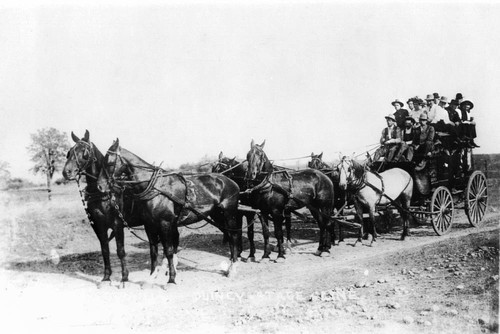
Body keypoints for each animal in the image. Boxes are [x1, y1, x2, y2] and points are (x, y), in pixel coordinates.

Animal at [63, 129, 144, 286]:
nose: (66, 172)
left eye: (84, 152)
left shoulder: (118, 224)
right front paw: (106, 277)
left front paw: (124, 277)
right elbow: (105, 249)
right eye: (69, 152)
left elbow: (120, 251)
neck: (103, 192)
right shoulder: (98, 225)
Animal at [97, 140, 242, 284]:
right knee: (229, 235)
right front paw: (152, 276)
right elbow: (153, 251)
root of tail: (230, 181)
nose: (100, 186)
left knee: (233, 236)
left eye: (109, 163)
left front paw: (171, 279)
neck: (155, 187)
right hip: (217, 215)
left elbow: (168, 251)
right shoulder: (149, 225)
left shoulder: (165, 223)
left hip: (229, 214)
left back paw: (233, 269)